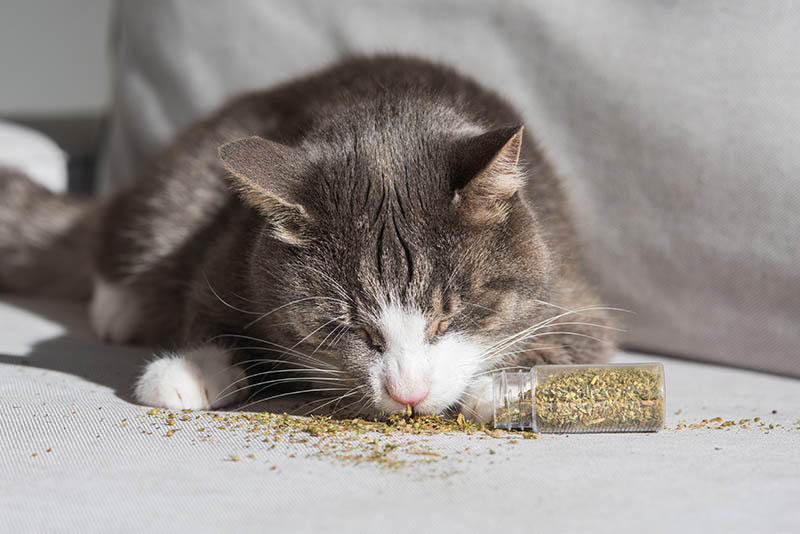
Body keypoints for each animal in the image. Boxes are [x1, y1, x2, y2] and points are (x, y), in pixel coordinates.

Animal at [0, 55, 620, 422]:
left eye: (449, 318)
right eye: (350, 328)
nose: (408, 393)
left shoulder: (572, 288)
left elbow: (575, 336)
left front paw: (501, 387)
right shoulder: (233, 250)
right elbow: (207, 308)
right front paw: (191, 370)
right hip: (187, 180)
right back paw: (124, 305)